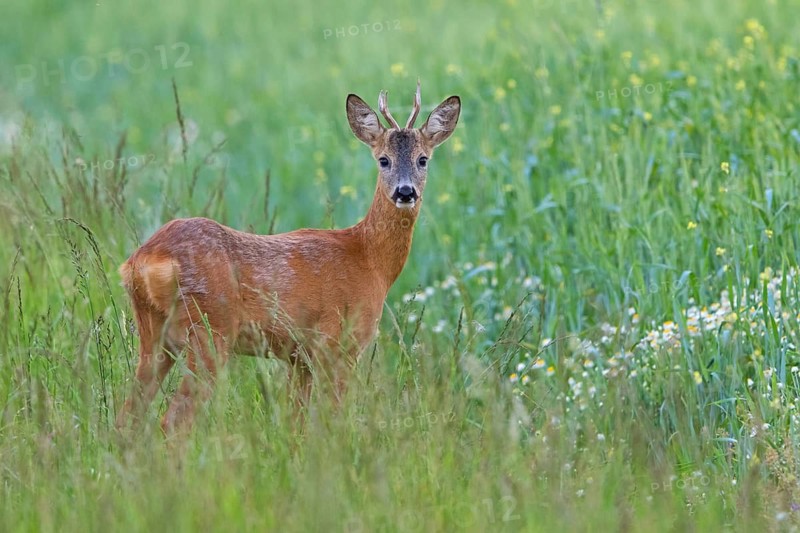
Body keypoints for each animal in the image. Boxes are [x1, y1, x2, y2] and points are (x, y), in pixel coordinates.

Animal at [115, 81, 461, 435]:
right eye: (383, 160)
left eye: (423, 159)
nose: (405, 192)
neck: (369, 260)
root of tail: (144, 260)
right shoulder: (337, 343)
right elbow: (332, 420)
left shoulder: (299, 357)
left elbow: (296, 424)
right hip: (209, 330)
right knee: (173, 421)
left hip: (155, 334)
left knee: (127, 416)